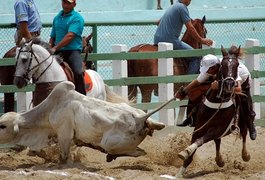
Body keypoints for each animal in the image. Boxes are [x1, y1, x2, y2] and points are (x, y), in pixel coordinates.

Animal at [0, 81, 171, 162]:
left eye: (2, 126)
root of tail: (141, 119)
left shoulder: (64, 135)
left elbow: (63, 157)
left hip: (109, 143)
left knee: (138, 152)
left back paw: (109, 155)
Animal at [176, 45, 249, 177]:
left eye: (236, 65)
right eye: (223, 65)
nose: (229, 84)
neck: (216, 102)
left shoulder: (217, 129)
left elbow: (199, 141)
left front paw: (186, 150)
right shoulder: (199, 128)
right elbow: (193, 149)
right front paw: (179, 173)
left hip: (242, 120)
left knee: (244, 133)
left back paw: (245, 155)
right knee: (218, 141)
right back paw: (219, 160)